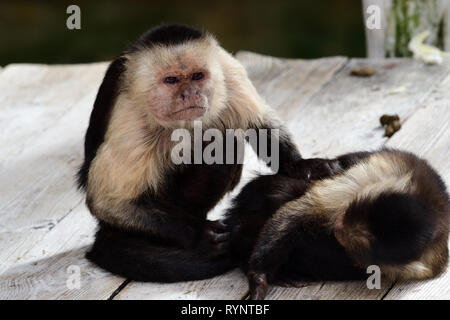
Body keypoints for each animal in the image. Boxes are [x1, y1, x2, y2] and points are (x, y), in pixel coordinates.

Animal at [75, 23, 332, 282]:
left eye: (197, 76)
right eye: (171, 80)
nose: (189, 93)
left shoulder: (228, 71)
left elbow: (260, 123)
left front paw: (300, 165)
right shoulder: (131, 115)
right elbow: (109, 202)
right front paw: (199, 235)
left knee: (223, 137)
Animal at [225, 150, 450, 300]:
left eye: (351, 241)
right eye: (350, 213)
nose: (339, 229)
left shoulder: (430, 263)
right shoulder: (375, 174)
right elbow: (302, 212)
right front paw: (259, 278)